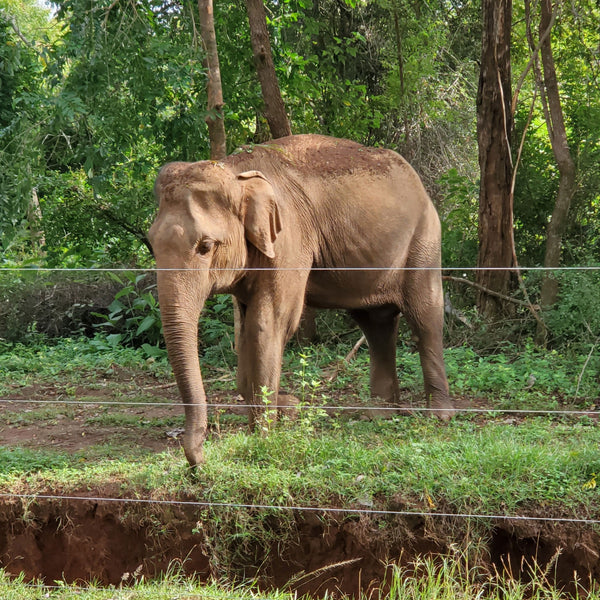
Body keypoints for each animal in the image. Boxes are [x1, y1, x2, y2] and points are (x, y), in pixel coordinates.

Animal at [148, 134, 452, 466]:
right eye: (150, 245)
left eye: (205, 246)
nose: (199, 462)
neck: (235, 171)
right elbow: (246, 328)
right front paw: (283, 410)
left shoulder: (289, 238)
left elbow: (269, 321)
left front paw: (266, 433)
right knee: (376, 323)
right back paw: (379, 414)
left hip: (424, 239)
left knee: (425, 316)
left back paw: (439, 417)